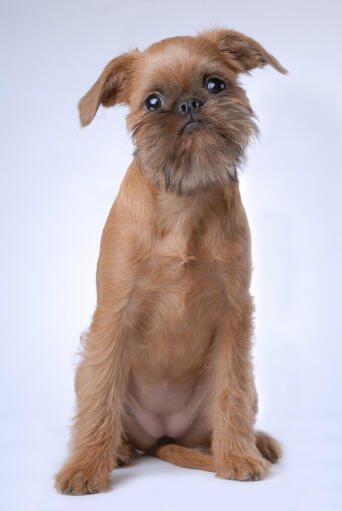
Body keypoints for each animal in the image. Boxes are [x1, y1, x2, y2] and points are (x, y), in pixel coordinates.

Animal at [55, 28, 286, 496]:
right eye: (152, 102)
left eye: (215, 84)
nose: (190, 103)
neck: (184, 200)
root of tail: (162, 435)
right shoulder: (113, 314)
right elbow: (100, 398)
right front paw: (85, 468)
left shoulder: (235, 313)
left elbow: (232, 392)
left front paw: (237, 457)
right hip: (84, 371)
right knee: (101, 402)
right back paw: (118, 451)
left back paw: (255, 443)